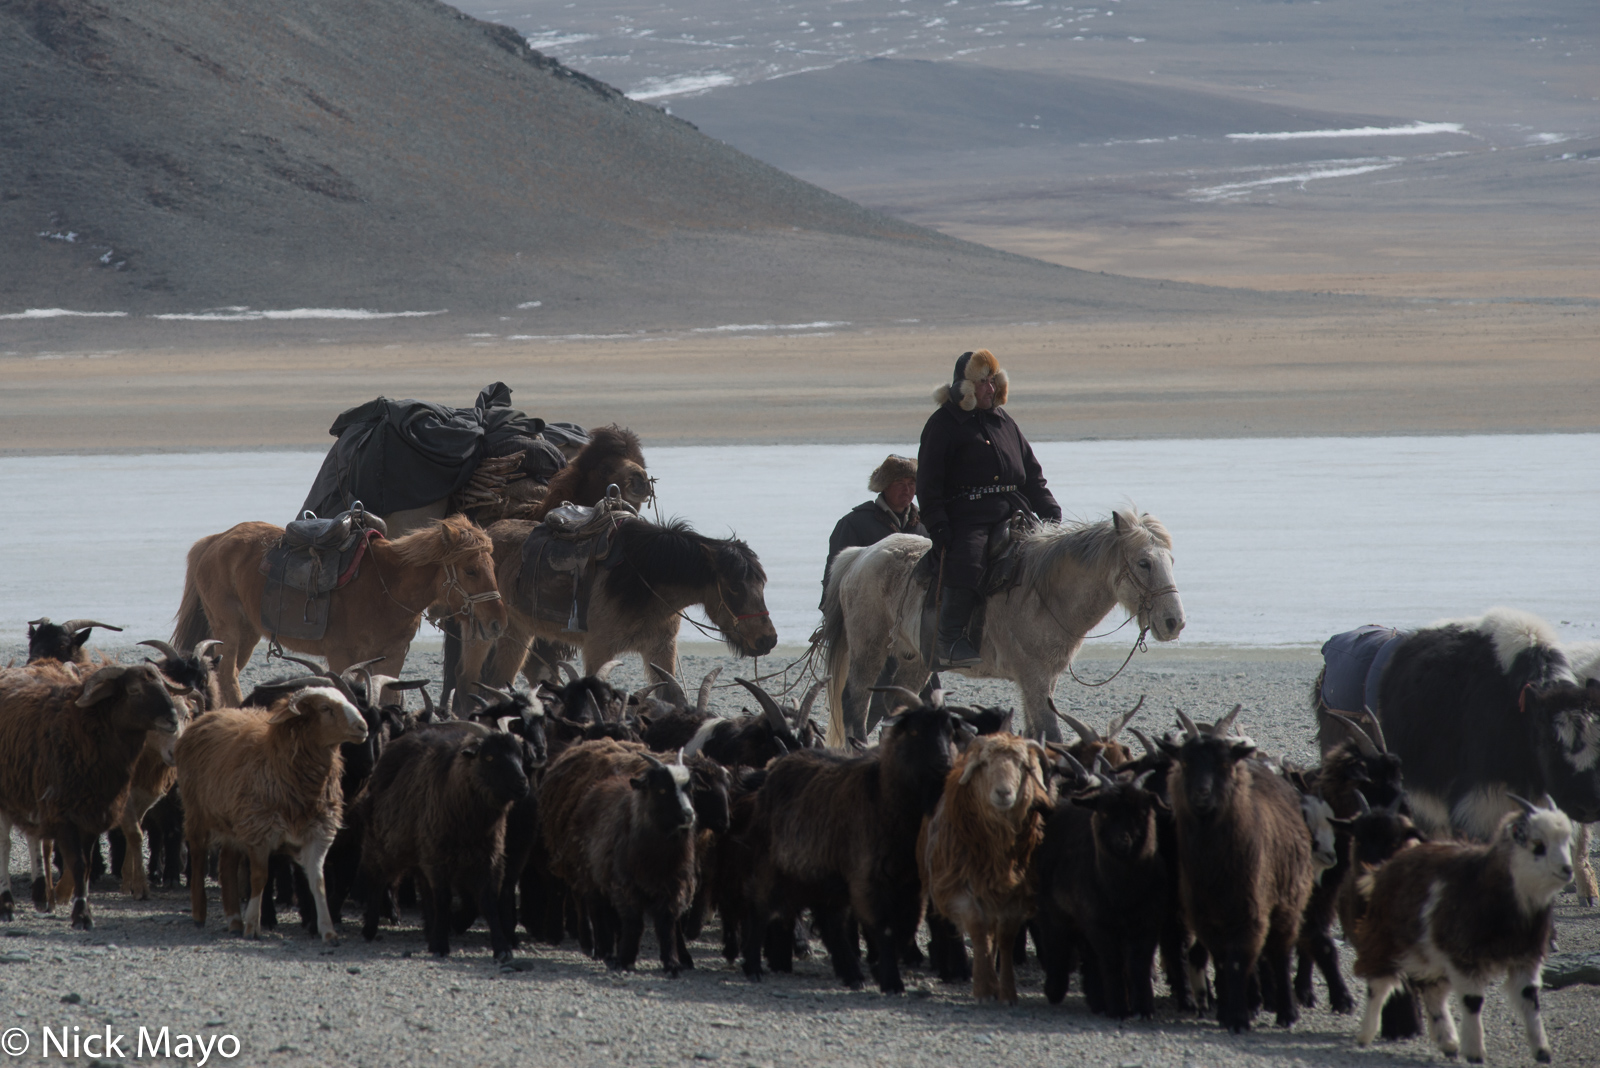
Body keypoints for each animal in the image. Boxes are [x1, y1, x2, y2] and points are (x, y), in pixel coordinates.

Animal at [172, 511, 502, 703]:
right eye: (471, 570)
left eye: (493, 565)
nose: (497, 623)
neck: (386, 586)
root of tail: (214, 541)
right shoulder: (341, 657)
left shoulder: (394, 657)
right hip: (229, 630)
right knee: (226, 676)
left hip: (248, 634)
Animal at [176, 687, 366, 940]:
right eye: (325, 708)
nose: (363, 727)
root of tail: (207, 717)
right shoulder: (260, 832)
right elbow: (259, 878)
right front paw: (252, 926)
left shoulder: (316, 834)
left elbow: (318, 882)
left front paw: (328, 931)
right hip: (197, 811)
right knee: (198, 856)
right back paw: (200, 915)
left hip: (233, 822)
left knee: (227, 863)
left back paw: (234, 919)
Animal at [454, 514, 777, 700]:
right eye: (735, 587)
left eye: (762, 584)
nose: (768, 639)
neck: (640, 581)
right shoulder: (598, 650)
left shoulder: (661, 649)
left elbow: (672, 697)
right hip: (480, 632)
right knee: (468, 683)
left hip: (517, 633)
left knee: (497, 685)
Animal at [825, 508, 1190, 741]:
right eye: (1144, 563)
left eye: (1172, 561)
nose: (1174, 622)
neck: (1043, 594)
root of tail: (859, 555)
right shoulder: (1033, 677)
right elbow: (1050, 733)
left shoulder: (1045, 680)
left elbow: (1037, 734)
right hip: (868, 649)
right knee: (854, 703)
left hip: (916, 660)